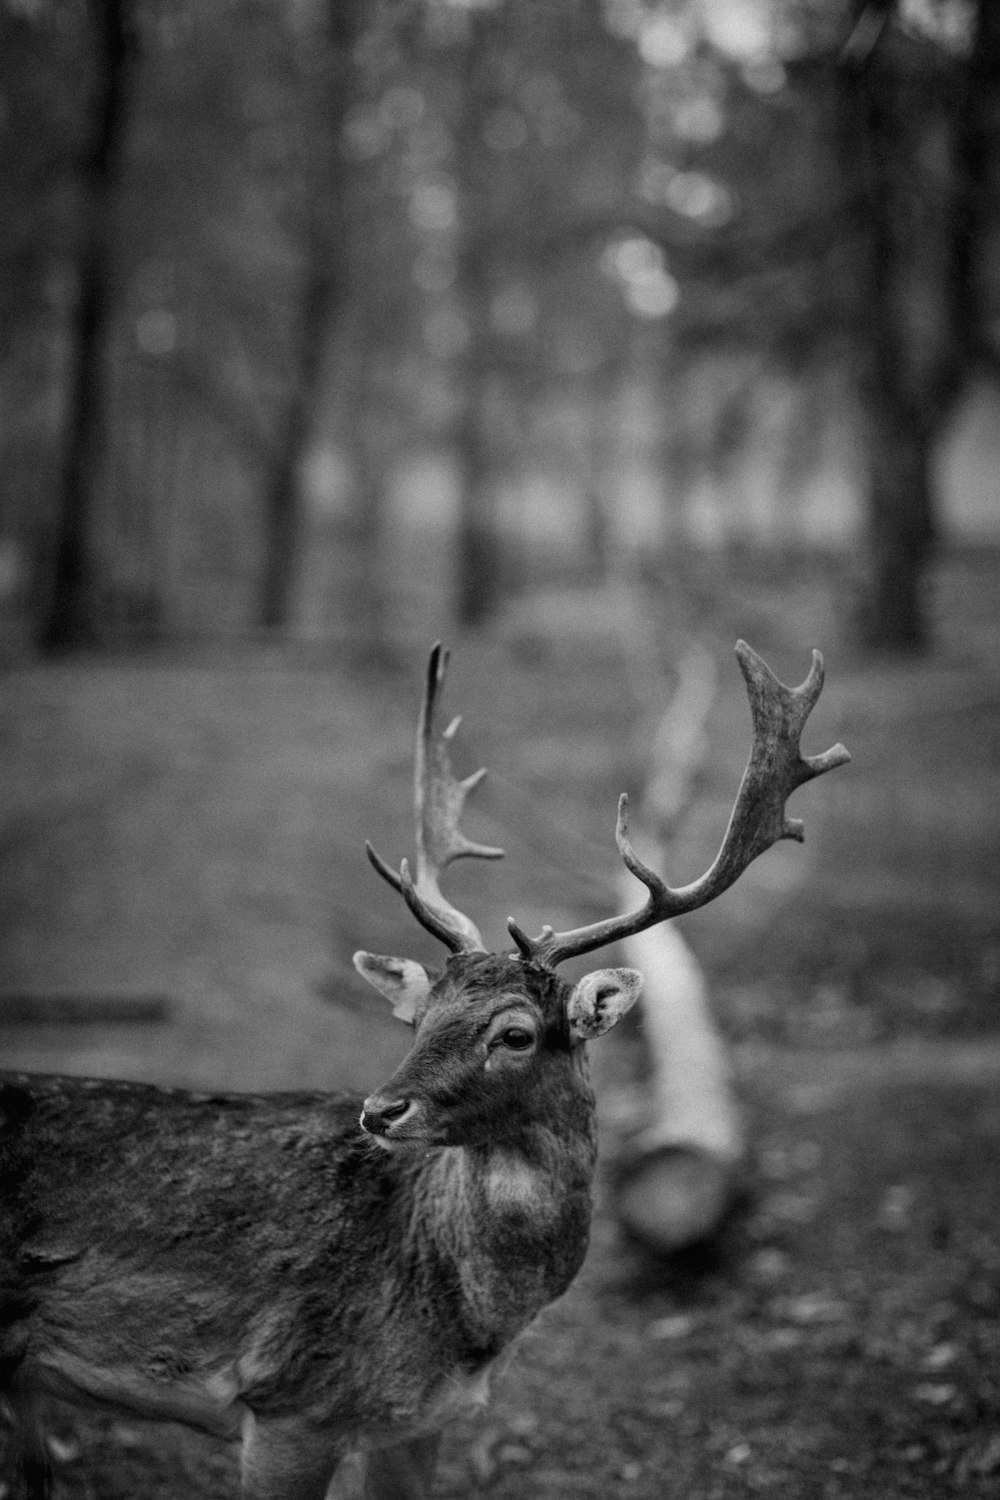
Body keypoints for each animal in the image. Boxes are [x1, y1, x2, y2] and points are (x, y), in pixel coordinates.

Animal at [0, 639, 851, 1494]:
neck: (457, 1330)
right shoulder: (288, 1399)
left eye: (516, 1035)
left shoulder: (417, 1423)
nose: (379, 1111)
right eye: (417, 1017)